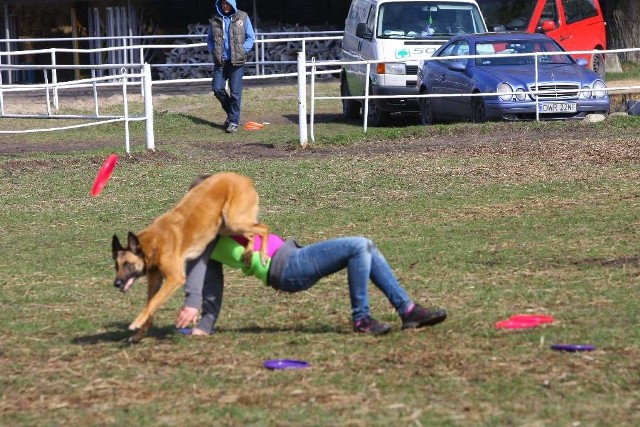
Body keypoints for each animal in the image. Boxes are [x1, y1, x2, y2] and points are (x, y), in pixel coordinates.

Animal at [112, 172, 268, 342]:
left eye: (128, 264)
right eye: (117, 266)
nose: (116, 283)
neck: (152, 244)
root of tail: (243, 178)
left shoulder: (175, 278)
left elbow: (153, 302)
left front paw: (136, 323)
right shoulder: (155, 281)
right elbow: (151, 304)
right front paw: (139, 334)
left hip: (233, 221)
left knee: (264, 228)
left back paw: (263, 256)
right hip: (226, 226)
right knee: (252, 235)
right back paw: (248, 255)